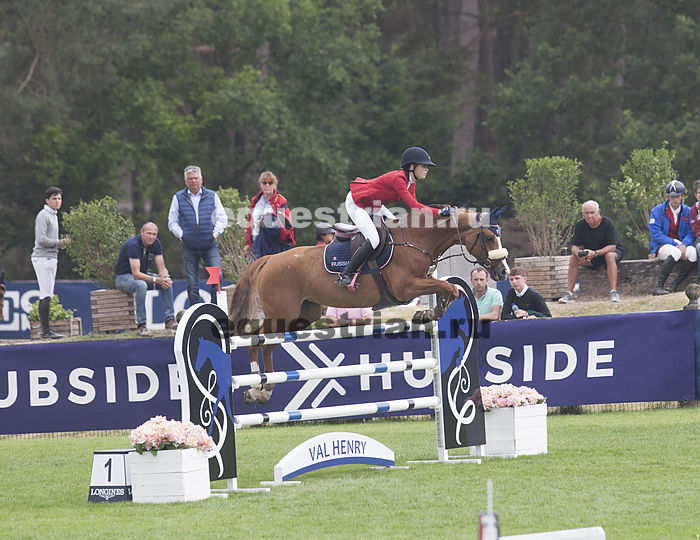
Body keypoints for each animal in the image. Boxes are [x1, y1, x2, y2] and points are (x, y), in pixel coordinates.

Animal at [228, 207, 509, 405]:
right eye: (487, 237)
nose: (503, 272)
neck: (417, 240)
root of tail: (269, 259)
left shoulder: (420, 283)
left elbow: (447, 289)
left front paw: (427, 312)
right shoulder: (406, 287)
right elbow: (449, 288)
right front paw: (430, 311)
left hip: (301, 315)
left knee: (268, 346)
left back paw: (266, 389)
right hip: (281, 313)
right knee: (255, 342)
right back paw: (254, 389)